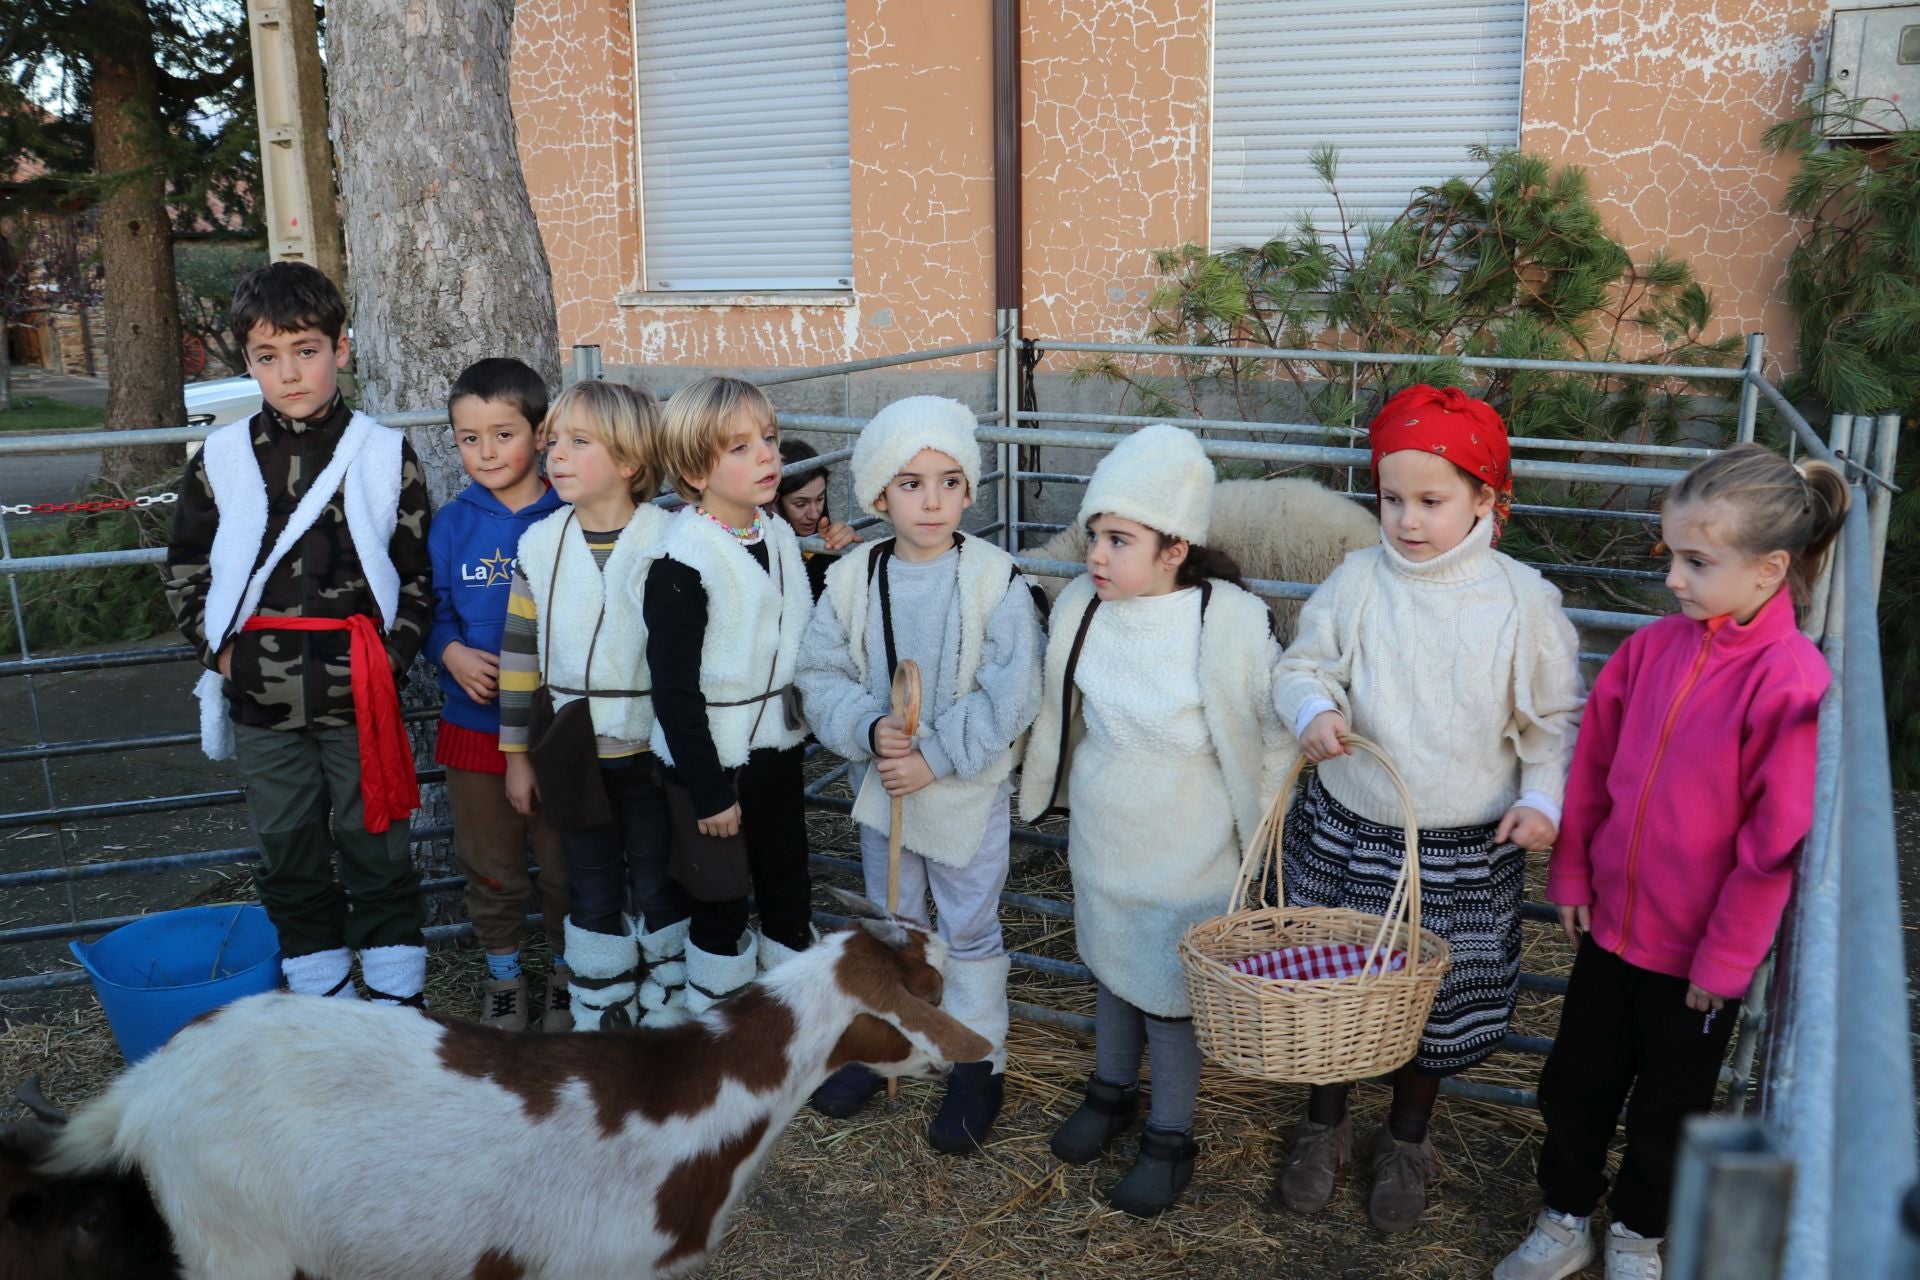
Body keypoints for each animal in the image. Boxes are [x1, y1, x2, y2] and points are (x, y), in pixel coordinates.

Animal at [45, 901, 990, 1280]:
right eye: (929, 989)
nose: (969, 1056)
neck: (702, 1094)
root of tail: (147, 1085)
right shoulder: (598, 1266)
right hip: (234, 1243)